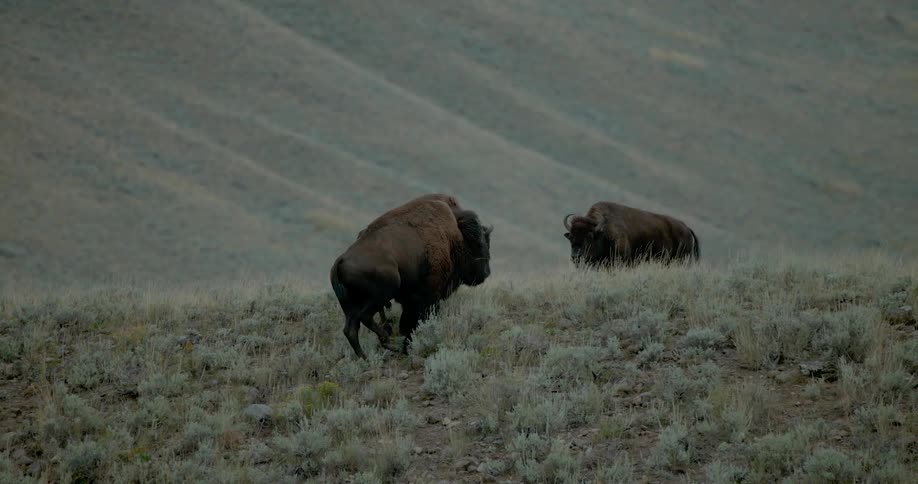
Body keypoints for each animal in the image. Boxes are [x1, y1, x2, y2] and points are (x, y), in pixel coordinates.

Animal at [330, 194, 493, 359]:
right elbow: (414, 320)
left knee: (351, 329)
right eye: (479, 244)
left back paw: (365, 357)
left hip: (351, 305)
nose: (486, 272)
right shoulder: (426, 298)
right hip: (384, 292)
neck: (455, 235)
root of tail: (340, 261)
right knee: (364, 317)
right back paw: (386, 341)